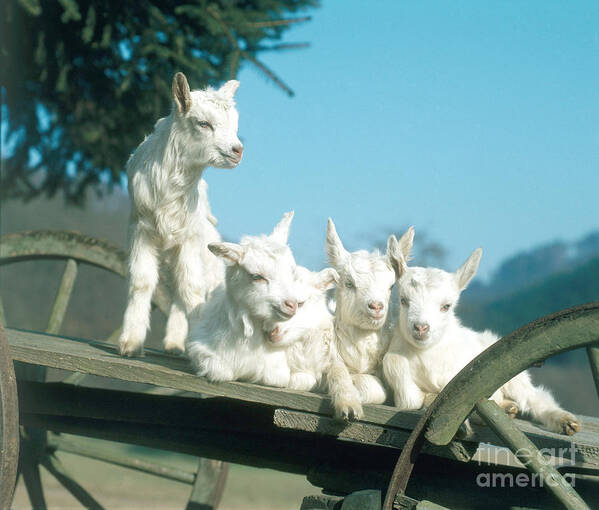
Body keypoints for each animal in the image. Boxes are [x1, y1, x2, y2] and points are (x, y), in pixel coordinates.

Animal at [119, 71, 244, 356]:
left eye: (235, 125)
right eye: (204, 123)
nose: (237, 150)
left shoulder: (189, 236)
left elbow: (191, 289)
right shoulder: (140, 229)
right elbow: (142, 281)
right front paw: (131, 344)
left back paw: (177, 344)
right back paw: (175, 343)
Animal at [188, 211, 302, 386]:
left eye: (293, 274)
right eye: (257, 276)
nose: (291, 305)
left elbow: (274, 378)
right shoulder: (200, 347)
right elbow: (219, 372)